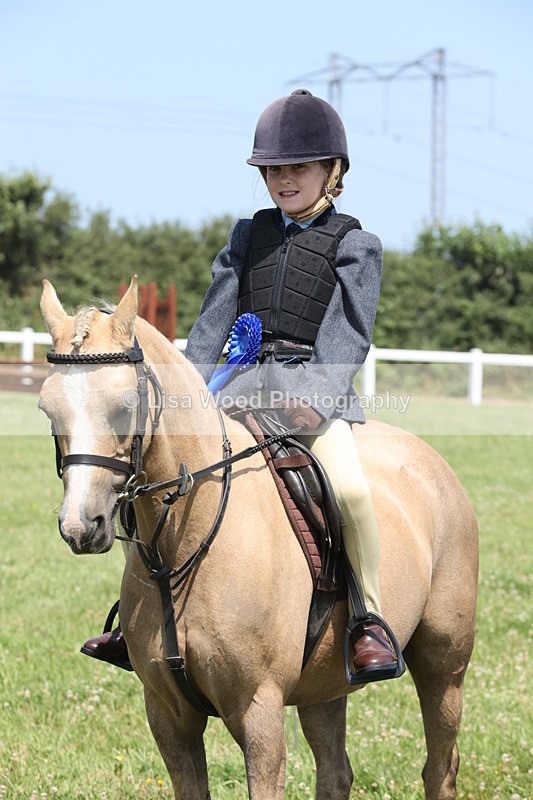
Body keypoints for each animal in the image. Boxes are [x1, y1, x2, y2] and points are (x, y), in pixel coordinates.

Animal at [38, 276, 478, 800]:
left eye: (125, 407)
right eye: (48, 409)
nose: (80, 526)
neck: (189, 541)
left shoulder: (259, 711)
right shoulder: (168, 716)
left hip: (444, 662)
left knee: (440, 766)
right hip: (325, 683)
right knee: (336, 771)